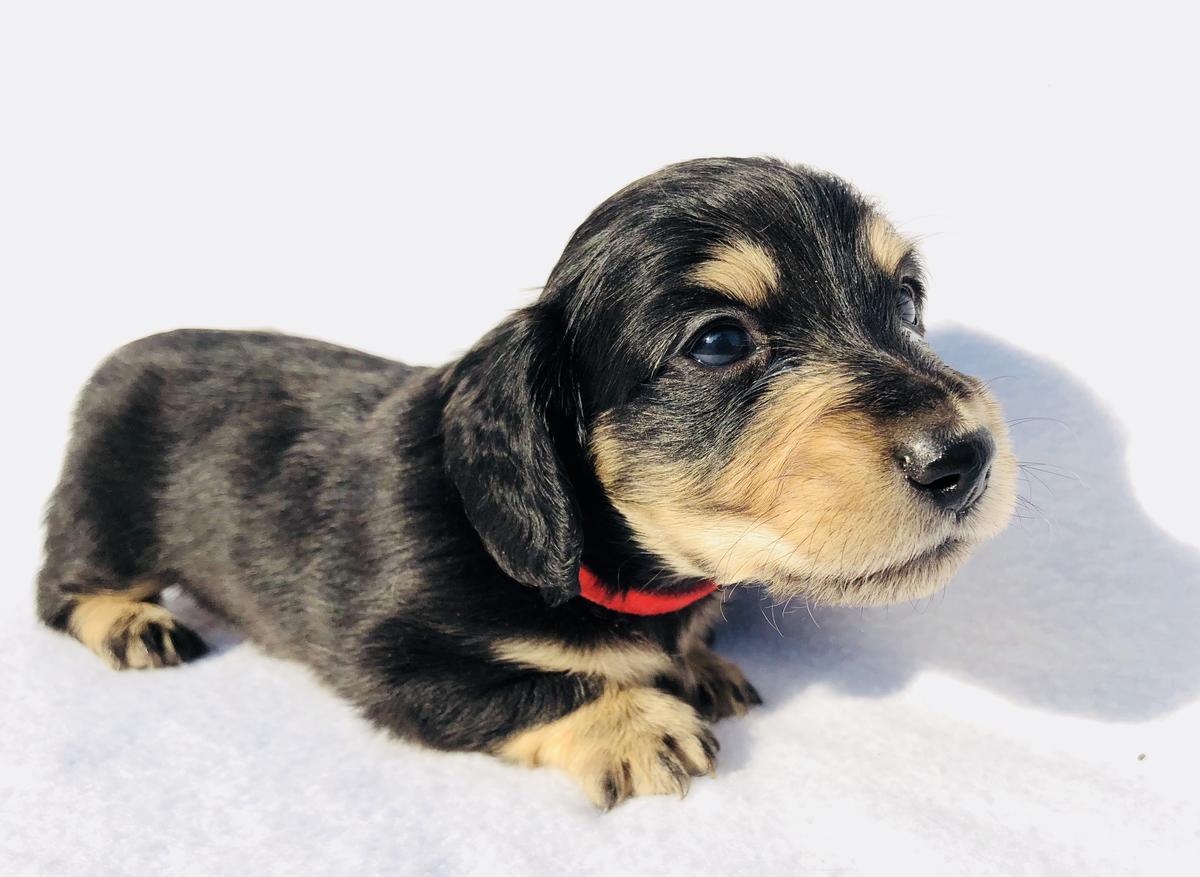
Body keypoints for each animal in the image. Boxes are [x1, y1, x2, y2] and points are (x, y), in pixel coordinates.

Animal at [35, 155, 1012, 811]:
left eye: (909, 302)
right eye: (719, 341)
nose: (964, 456)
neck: (606, 566)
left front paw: (695, 663)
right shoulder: (392, 661)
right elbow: (539, 683)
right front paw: (637, 719)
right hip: (104, 513)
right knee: (61, 591)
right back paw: (130, 621)